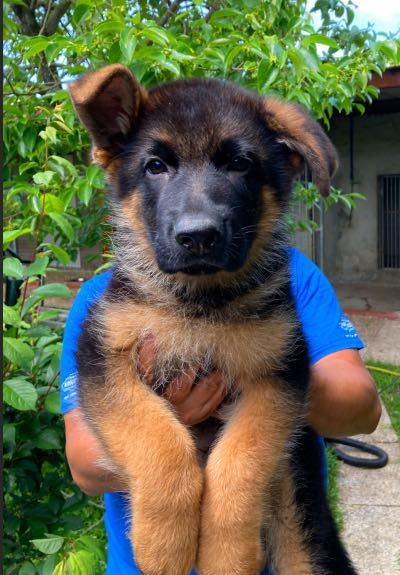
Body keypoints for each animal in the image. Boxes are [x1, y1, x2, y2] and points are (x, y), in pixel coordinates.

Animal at [69, 65, 356, 572]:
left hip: (302, 520)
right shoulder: (103, 356)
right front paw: (164, 543)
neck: (201, 305)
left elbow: (240, 462)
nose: (198, 237)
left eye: (239, 164)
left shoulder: (279, 373)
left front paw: (227, 552)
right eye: (155, 166)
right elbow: (158, 438)